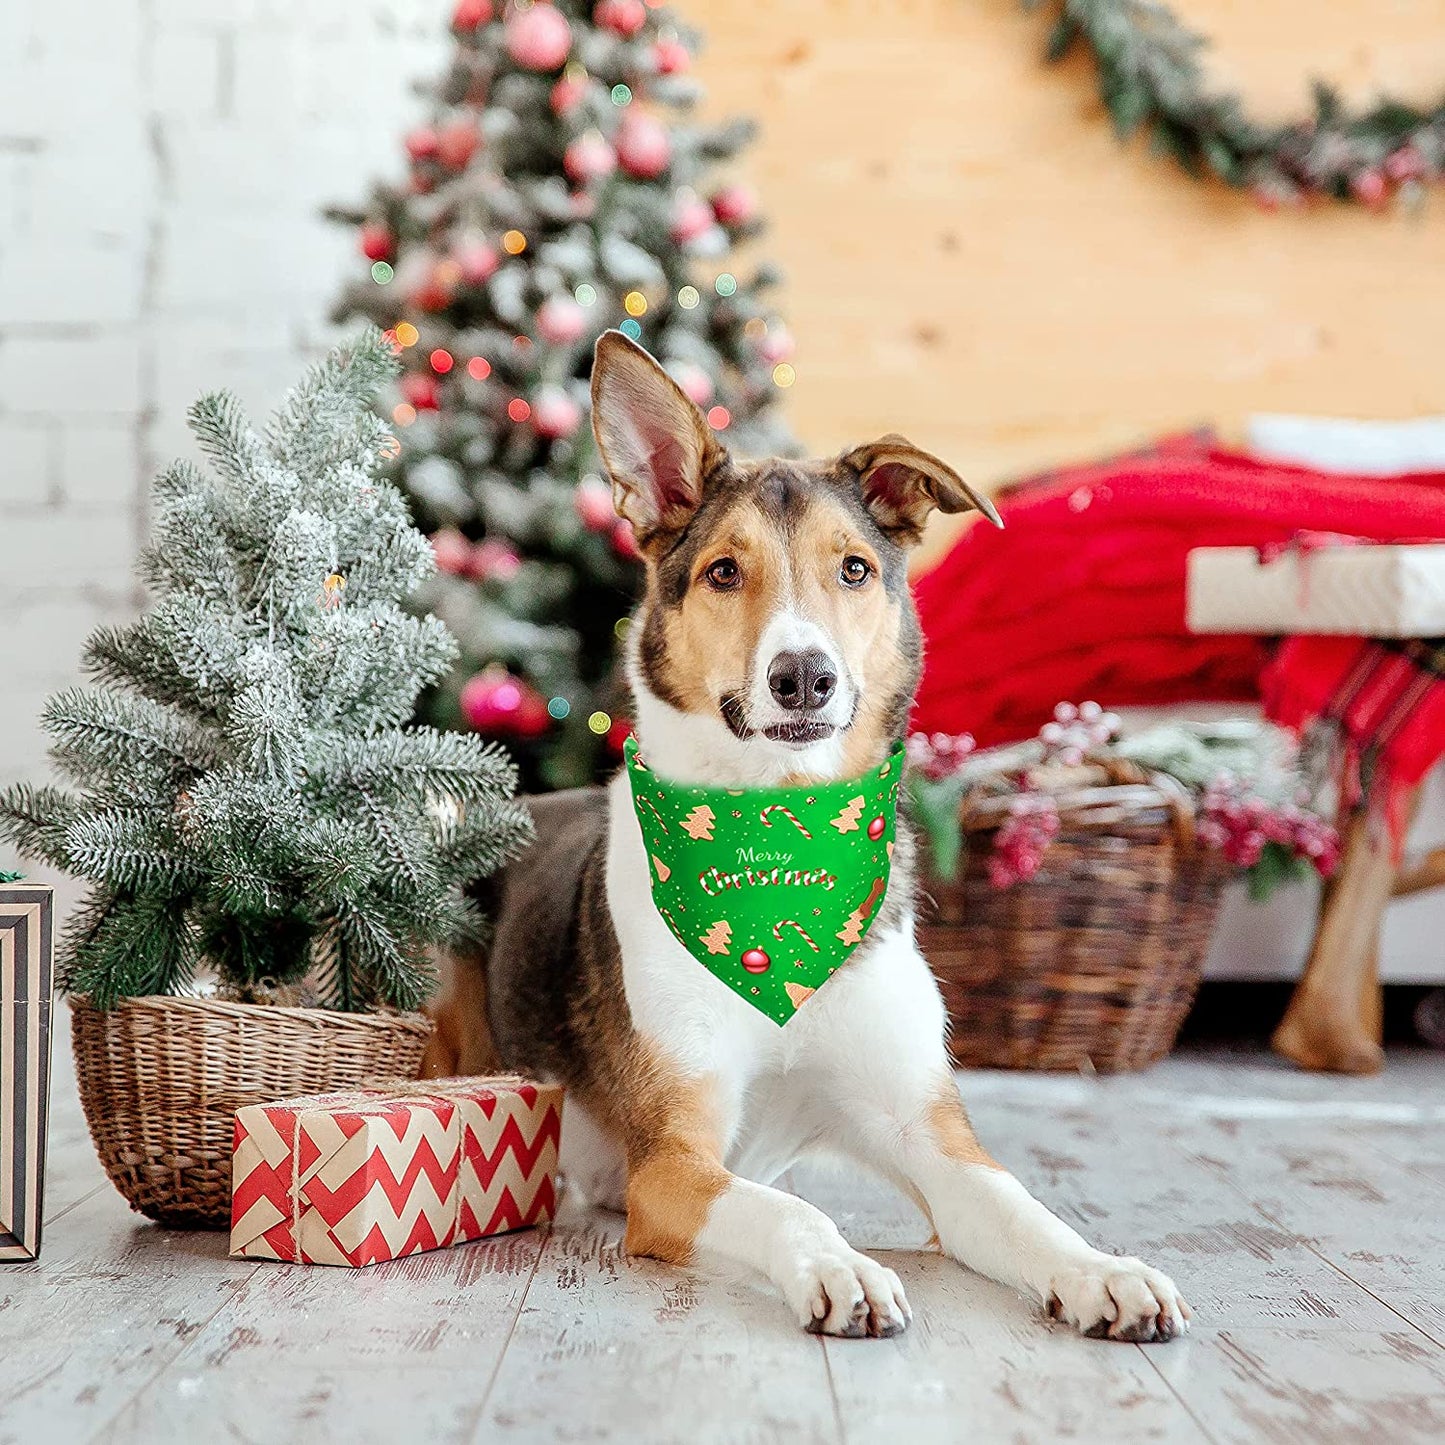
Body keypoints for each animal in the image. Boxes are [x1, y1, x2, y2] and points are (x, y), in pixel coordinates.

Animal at [421, 330, 1190, 1340]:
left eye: (853, 568)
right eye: (723, 571)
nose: (803, 676)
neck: (782, 842)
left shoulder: (926, 1134)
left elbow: (1022, 1205)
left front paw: (1105, 1271)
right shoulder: (672, 1165)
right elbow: (791, 1207)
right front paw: (840, 1265)